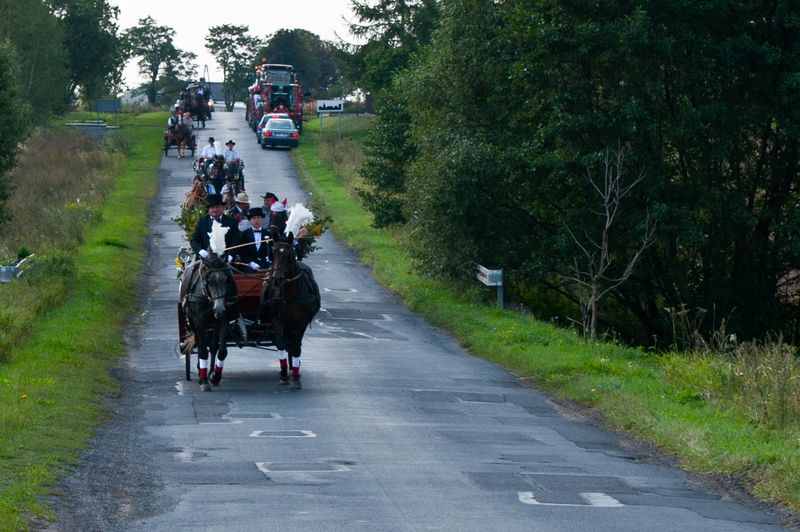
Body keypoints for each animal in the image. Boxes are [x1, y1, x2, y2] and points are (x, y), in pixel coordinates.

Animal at [178, 251, 234, 392]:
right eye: (208, 281)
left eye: (226, 279)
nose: (219, 309)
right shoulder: (199, 320)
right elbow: (202, 350)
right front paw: (203, 381)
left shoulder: (224, 319)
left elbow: (221, 351)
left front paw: (215, 376)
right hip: (192, 321)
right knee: (200, 342)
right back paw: (200, 373)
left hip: (213, 323)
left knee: (213, 346)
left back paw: (209, 372)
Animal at [260, 233, 320, 390]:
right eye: (273, 253)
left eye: (289, 255)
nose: (277, 279)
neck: (291, 294)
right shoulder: (278, 321)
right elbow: (281, 344)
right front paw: (283, 375)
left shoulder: (301, 323)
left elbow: (296, 347)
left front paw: (295, 378)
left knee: (293, 345)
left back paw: (295, 370)